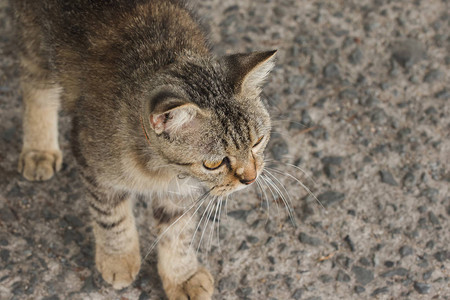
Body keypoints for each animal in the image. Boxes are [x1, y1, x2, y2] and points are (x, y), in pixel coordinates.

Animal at [13, 1, 274, 298]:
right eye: (213, 164)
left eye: (257, 142)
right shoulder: (92, 162)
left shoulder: (180, 191)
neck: (160, 168)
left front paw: (182, 276)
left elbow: (178, 234)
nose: (250, 178)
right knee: (35, 85)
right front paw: (118, 258)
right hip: (35, 39)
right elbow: (111, 217)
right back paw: (39, 150)